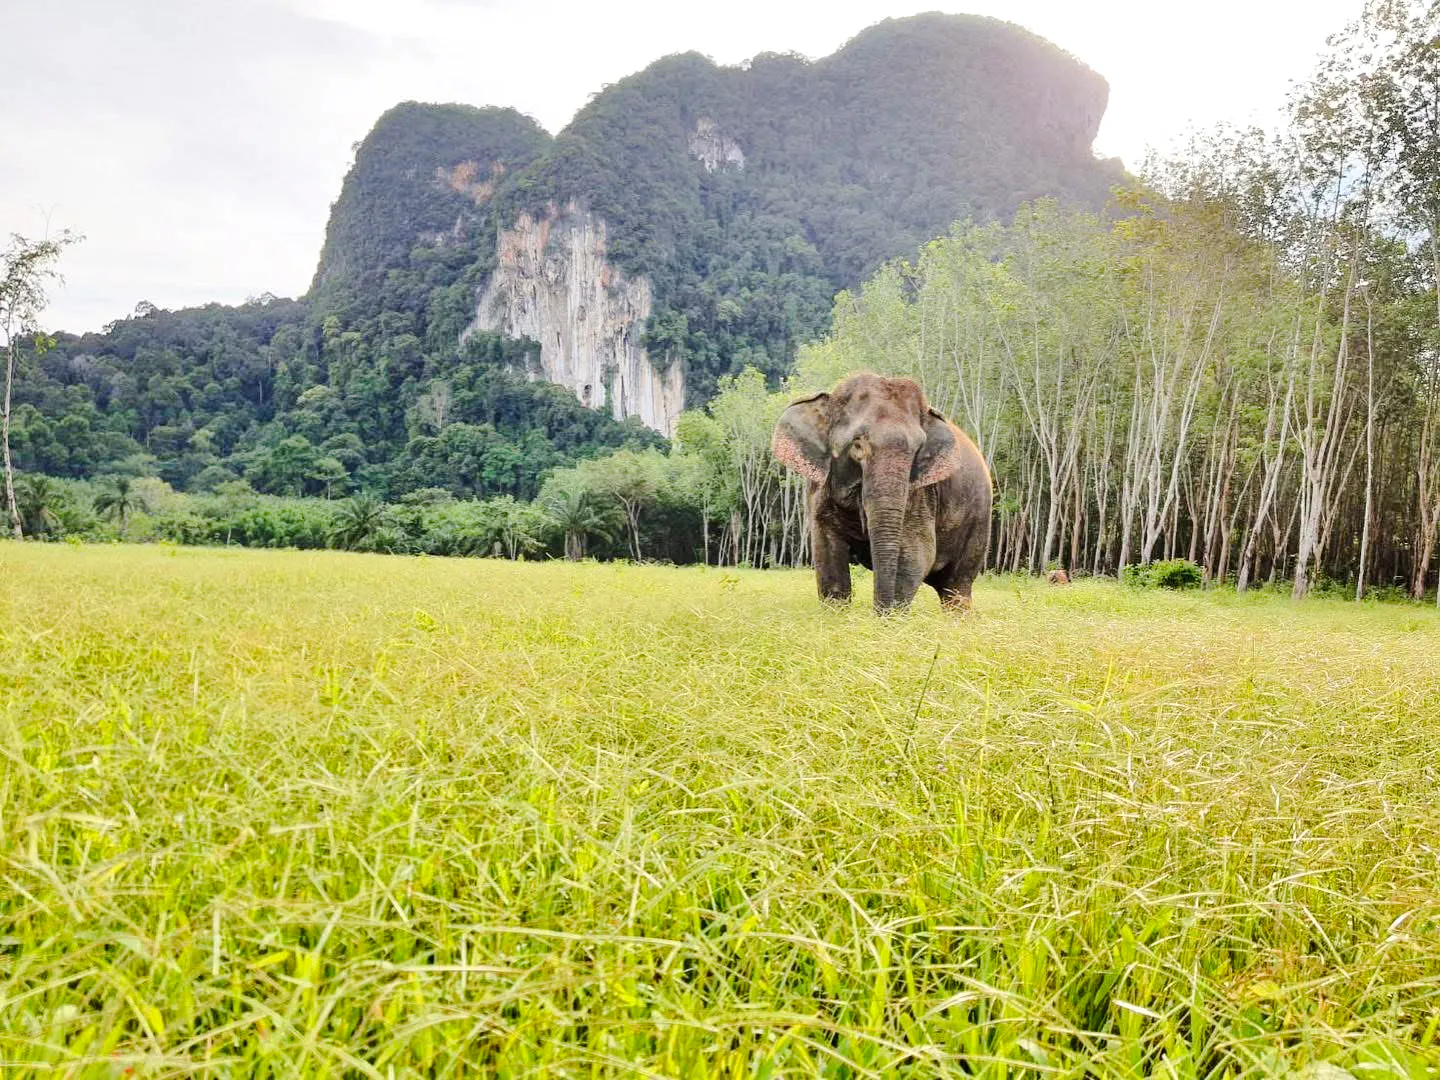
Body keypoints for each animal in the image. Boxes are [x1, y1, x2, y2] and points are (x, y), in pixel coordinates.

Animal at [771, 372, 992, 613]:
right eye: (857, 445)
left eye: (917, 450)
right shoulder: (820, 489)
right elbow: (826, 553)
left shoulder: (921, 493)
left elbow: (916, 556)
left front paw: (889, 618)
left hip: (977, 522)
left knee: (956, 586)